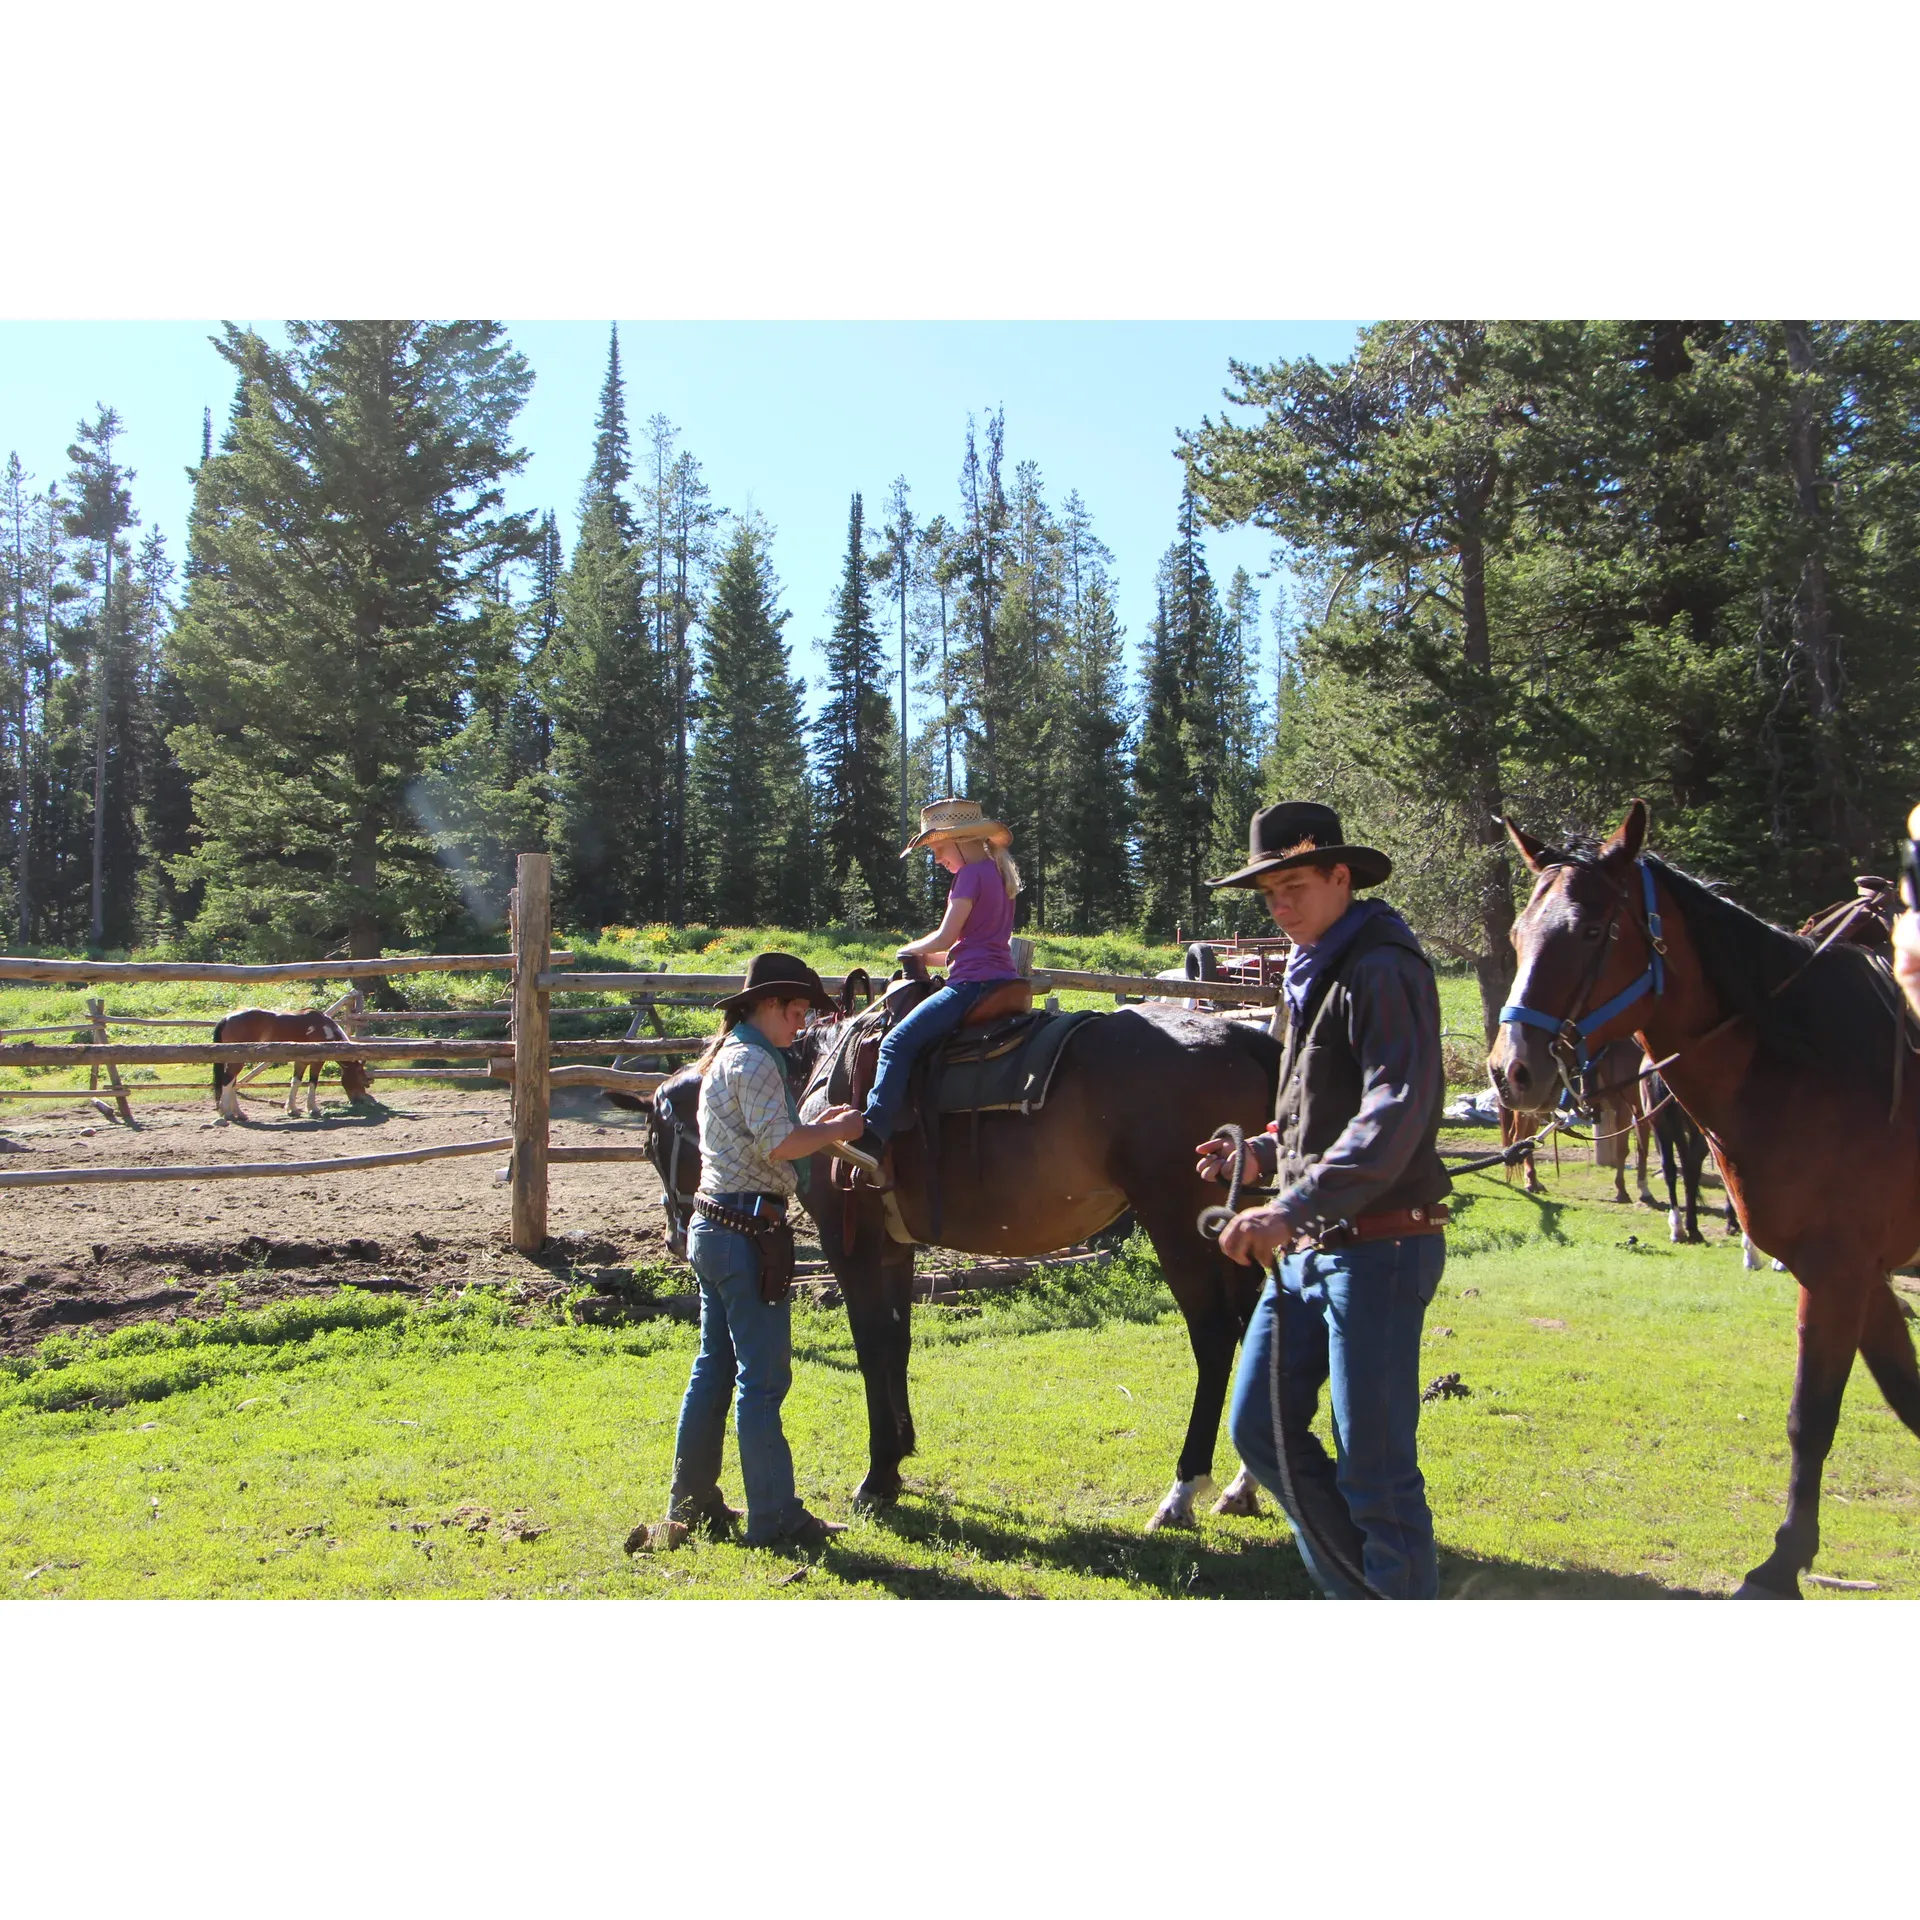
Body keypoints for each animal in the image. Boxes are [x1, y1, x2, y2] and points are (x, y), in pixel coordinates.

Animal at [211, 1006, 374, 1121]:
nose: (361, 1100)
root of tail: (227, 1018)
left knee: (232, 1082)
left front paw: (292, 1109)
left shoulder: (301, 1061)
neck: (323, 1027)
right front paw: (312, 1108)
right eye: (361, 1077)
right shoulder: (317, 1061)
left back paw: (238, 1113)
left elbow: (296, 1082)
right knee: (228, 1081)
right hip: (237, 1060)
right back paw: (227, 1113)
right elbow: (313, 1082)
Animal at [641, 998, 1274, 1536]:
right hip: (1240, 1226)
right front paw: (899, 1455)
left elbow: (871, 1346)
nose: (676, 1238)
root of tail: (1244, 1036)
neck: (815, 1077)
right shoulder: (893, 1249)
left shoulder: (853, 1247)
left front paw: (877, 1477)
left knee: (1215, 1335)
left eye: (652, 1144)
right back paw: (1242, 1487)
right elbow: (897, 1343)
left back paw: (1182, 1491)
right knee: (1254, 1324)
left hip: (1178, 1225)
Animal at [1489, 802, 1920, 1597]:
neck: (1812, 1062)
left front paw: (1780, 1565)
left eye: (1591, 933)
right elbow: (1901, 1397)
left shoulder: (1838, 1272)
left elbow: (1812, 1415)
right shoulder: (1866, 1278)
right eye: (1518, 935)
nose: (1512, 1071)